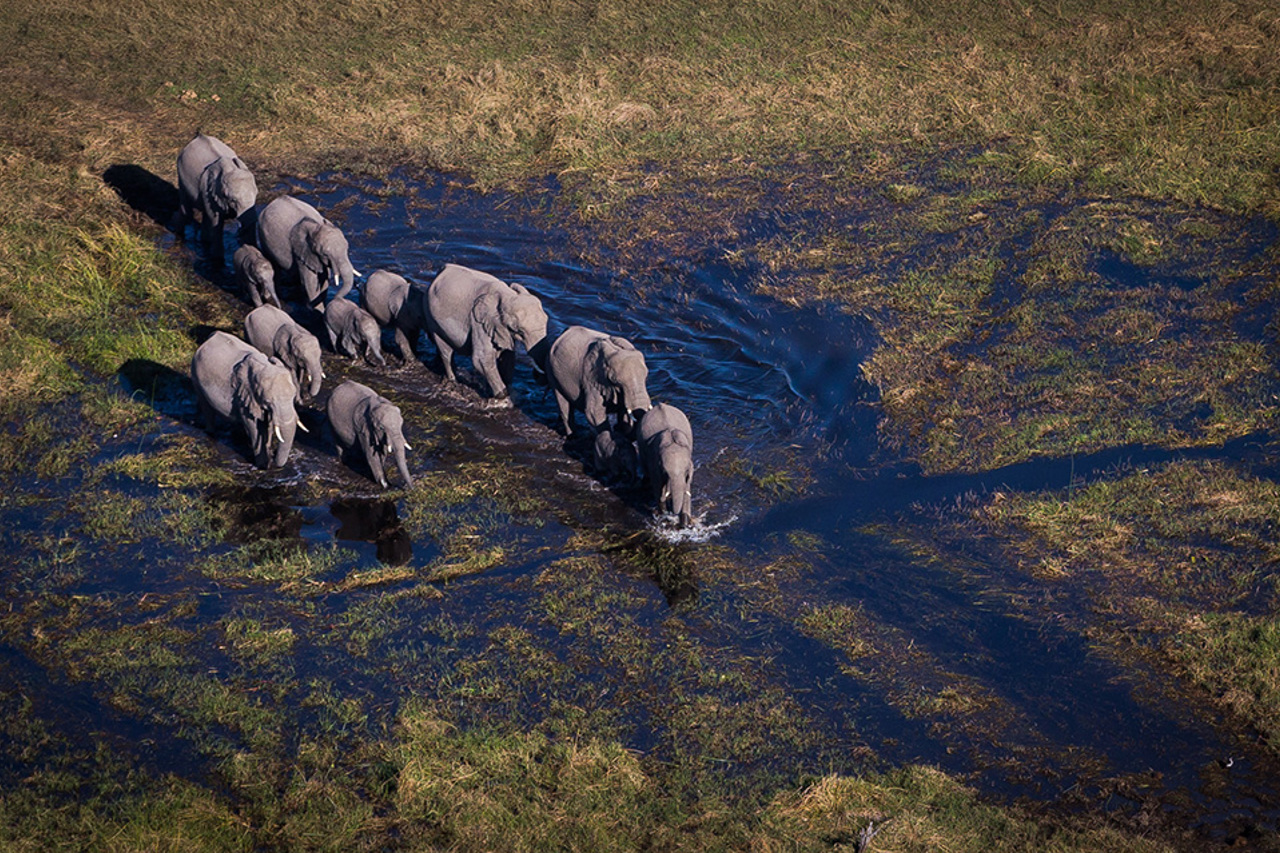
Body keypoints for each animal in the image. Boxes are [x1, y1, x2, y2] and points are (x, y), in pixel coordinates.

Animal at [190, 331, 303, 469]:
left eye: (293, 397)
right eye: (268, 401)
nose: (274, 454)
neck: (264, 366)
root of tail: (211, 337)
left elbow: (268, 425)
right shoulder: (243, 395)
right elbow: (255, 426)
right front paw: (263, 466)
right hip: (195, 373)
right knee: (206, 406)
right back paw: (210, 433)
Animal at [424, 263, 549, 398]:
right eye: (519, 331)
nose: (537, 373)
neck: (507, 295)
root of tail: (443, 269)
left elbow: (508, 357)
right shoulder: (478, 323)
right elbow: (481, 359)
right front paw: (502, 396)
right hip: (431, 318)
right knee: (446, 351)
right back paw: (453, 380)